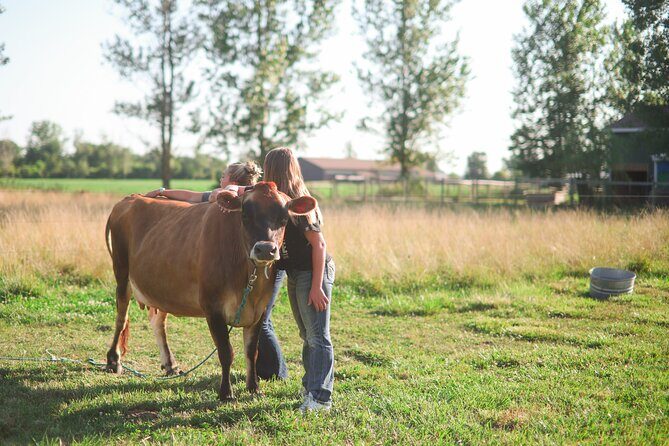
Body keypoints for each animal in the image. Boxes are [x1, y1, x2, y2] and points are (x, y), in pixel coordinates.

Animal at [104, 182, 316, 400]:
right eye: (245, 215)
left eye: (284, 218)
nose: (265, 249)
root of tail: (131, 197)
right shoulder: (212, 308)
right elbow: (226, 352)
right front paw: (226, 393)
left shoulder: (259, 311)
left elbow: (251, 352)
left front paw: (254, 388)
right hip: (121, 272)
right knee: (121, 317)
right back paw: (113, 361)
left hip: (161, 287)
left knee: (157, 322)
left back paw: (170, 364)